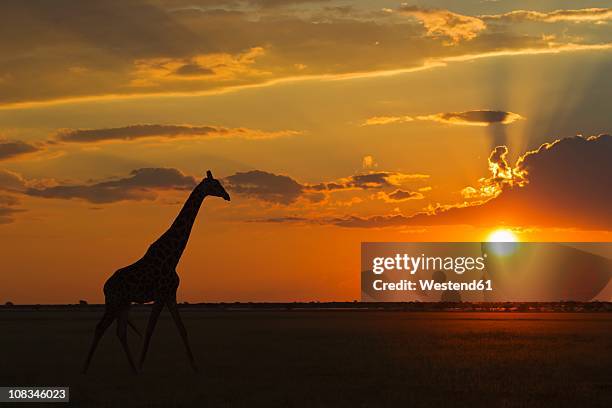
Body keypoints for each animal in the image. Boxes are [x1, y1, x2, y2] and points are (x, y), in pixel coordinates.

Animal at [82, 171, 231, 374]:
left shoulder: (170, 294)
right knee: (100, 328)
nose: (227, 195)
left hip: (124, 304)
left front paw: (195, 366)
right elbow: (149, 329)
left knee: (120, 332)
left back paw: (132, 369)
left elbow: (182, 328)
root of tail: (105, 287)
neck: (173, 256)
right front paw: (141, 364)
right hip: (114, 302)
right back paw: (85, 368)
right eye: (215, 185)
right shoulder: (160, 295)